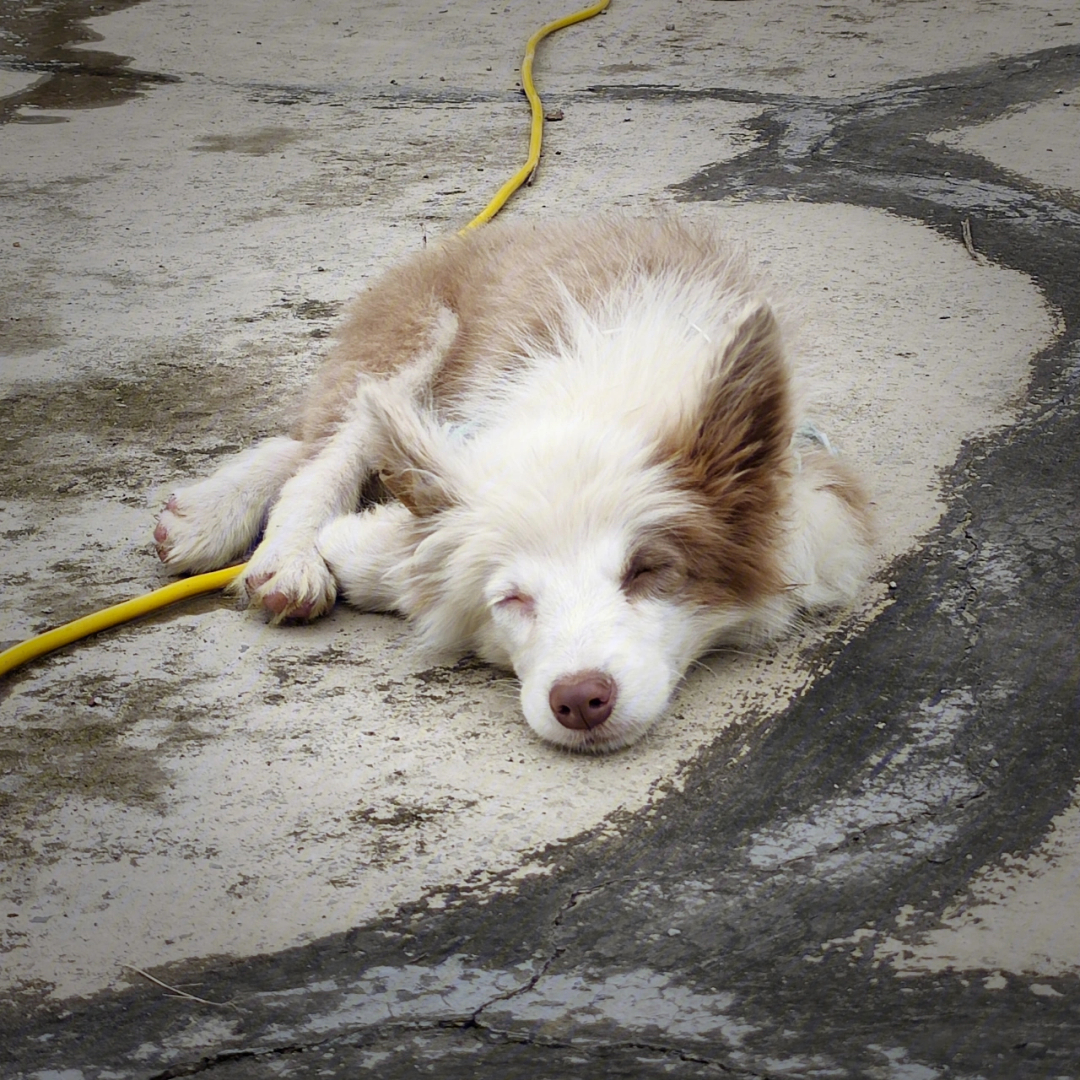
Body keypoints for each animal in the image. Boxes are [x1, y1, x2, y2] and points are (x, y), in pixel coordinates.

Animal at [156, 218, 872, 751]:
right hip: (412, 339)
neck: (595, 408)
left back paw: (203, 516)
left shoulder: (817, 491)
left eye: (646, 570)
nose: (580, 700)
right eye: (512, 598)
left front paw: (373, 544)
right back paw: (284, 558)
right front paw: (357, 547)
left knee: (300, 444)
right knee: (321, 456)